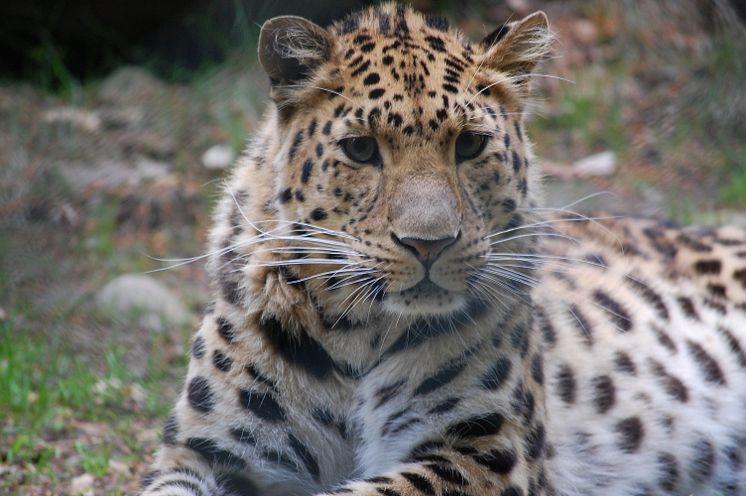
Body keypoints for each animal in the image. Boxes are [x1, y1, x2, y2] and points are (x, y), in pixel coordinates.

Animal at [140, 4, 744, 496]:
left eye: (469, 144)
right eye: (361, 149)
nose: (428, 243)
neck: (354, 335)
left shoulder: (486, 453)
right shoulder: (202, 452)